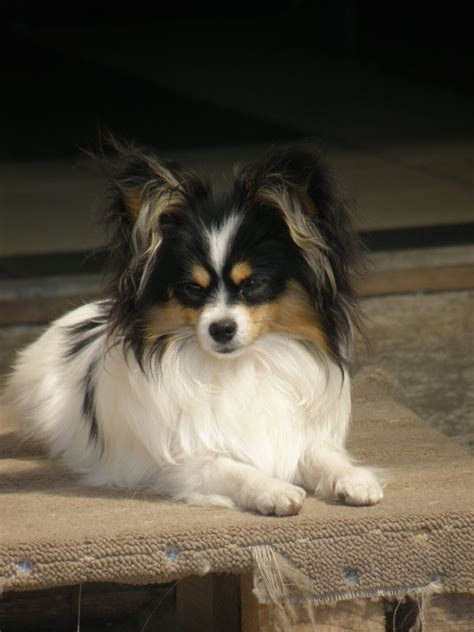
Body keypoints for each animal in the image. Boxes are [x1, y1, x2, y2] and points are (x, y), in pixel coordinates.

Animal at [4, 142, 386, 512]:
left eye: (252, 284)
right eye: (192, 288)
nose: (221, 329)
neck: (241, 366)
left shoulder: (299, 440)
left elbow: (322, 456)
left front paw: (354, 478)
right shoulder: (183, 463)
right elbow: (233, 469)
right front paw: (272, 489)